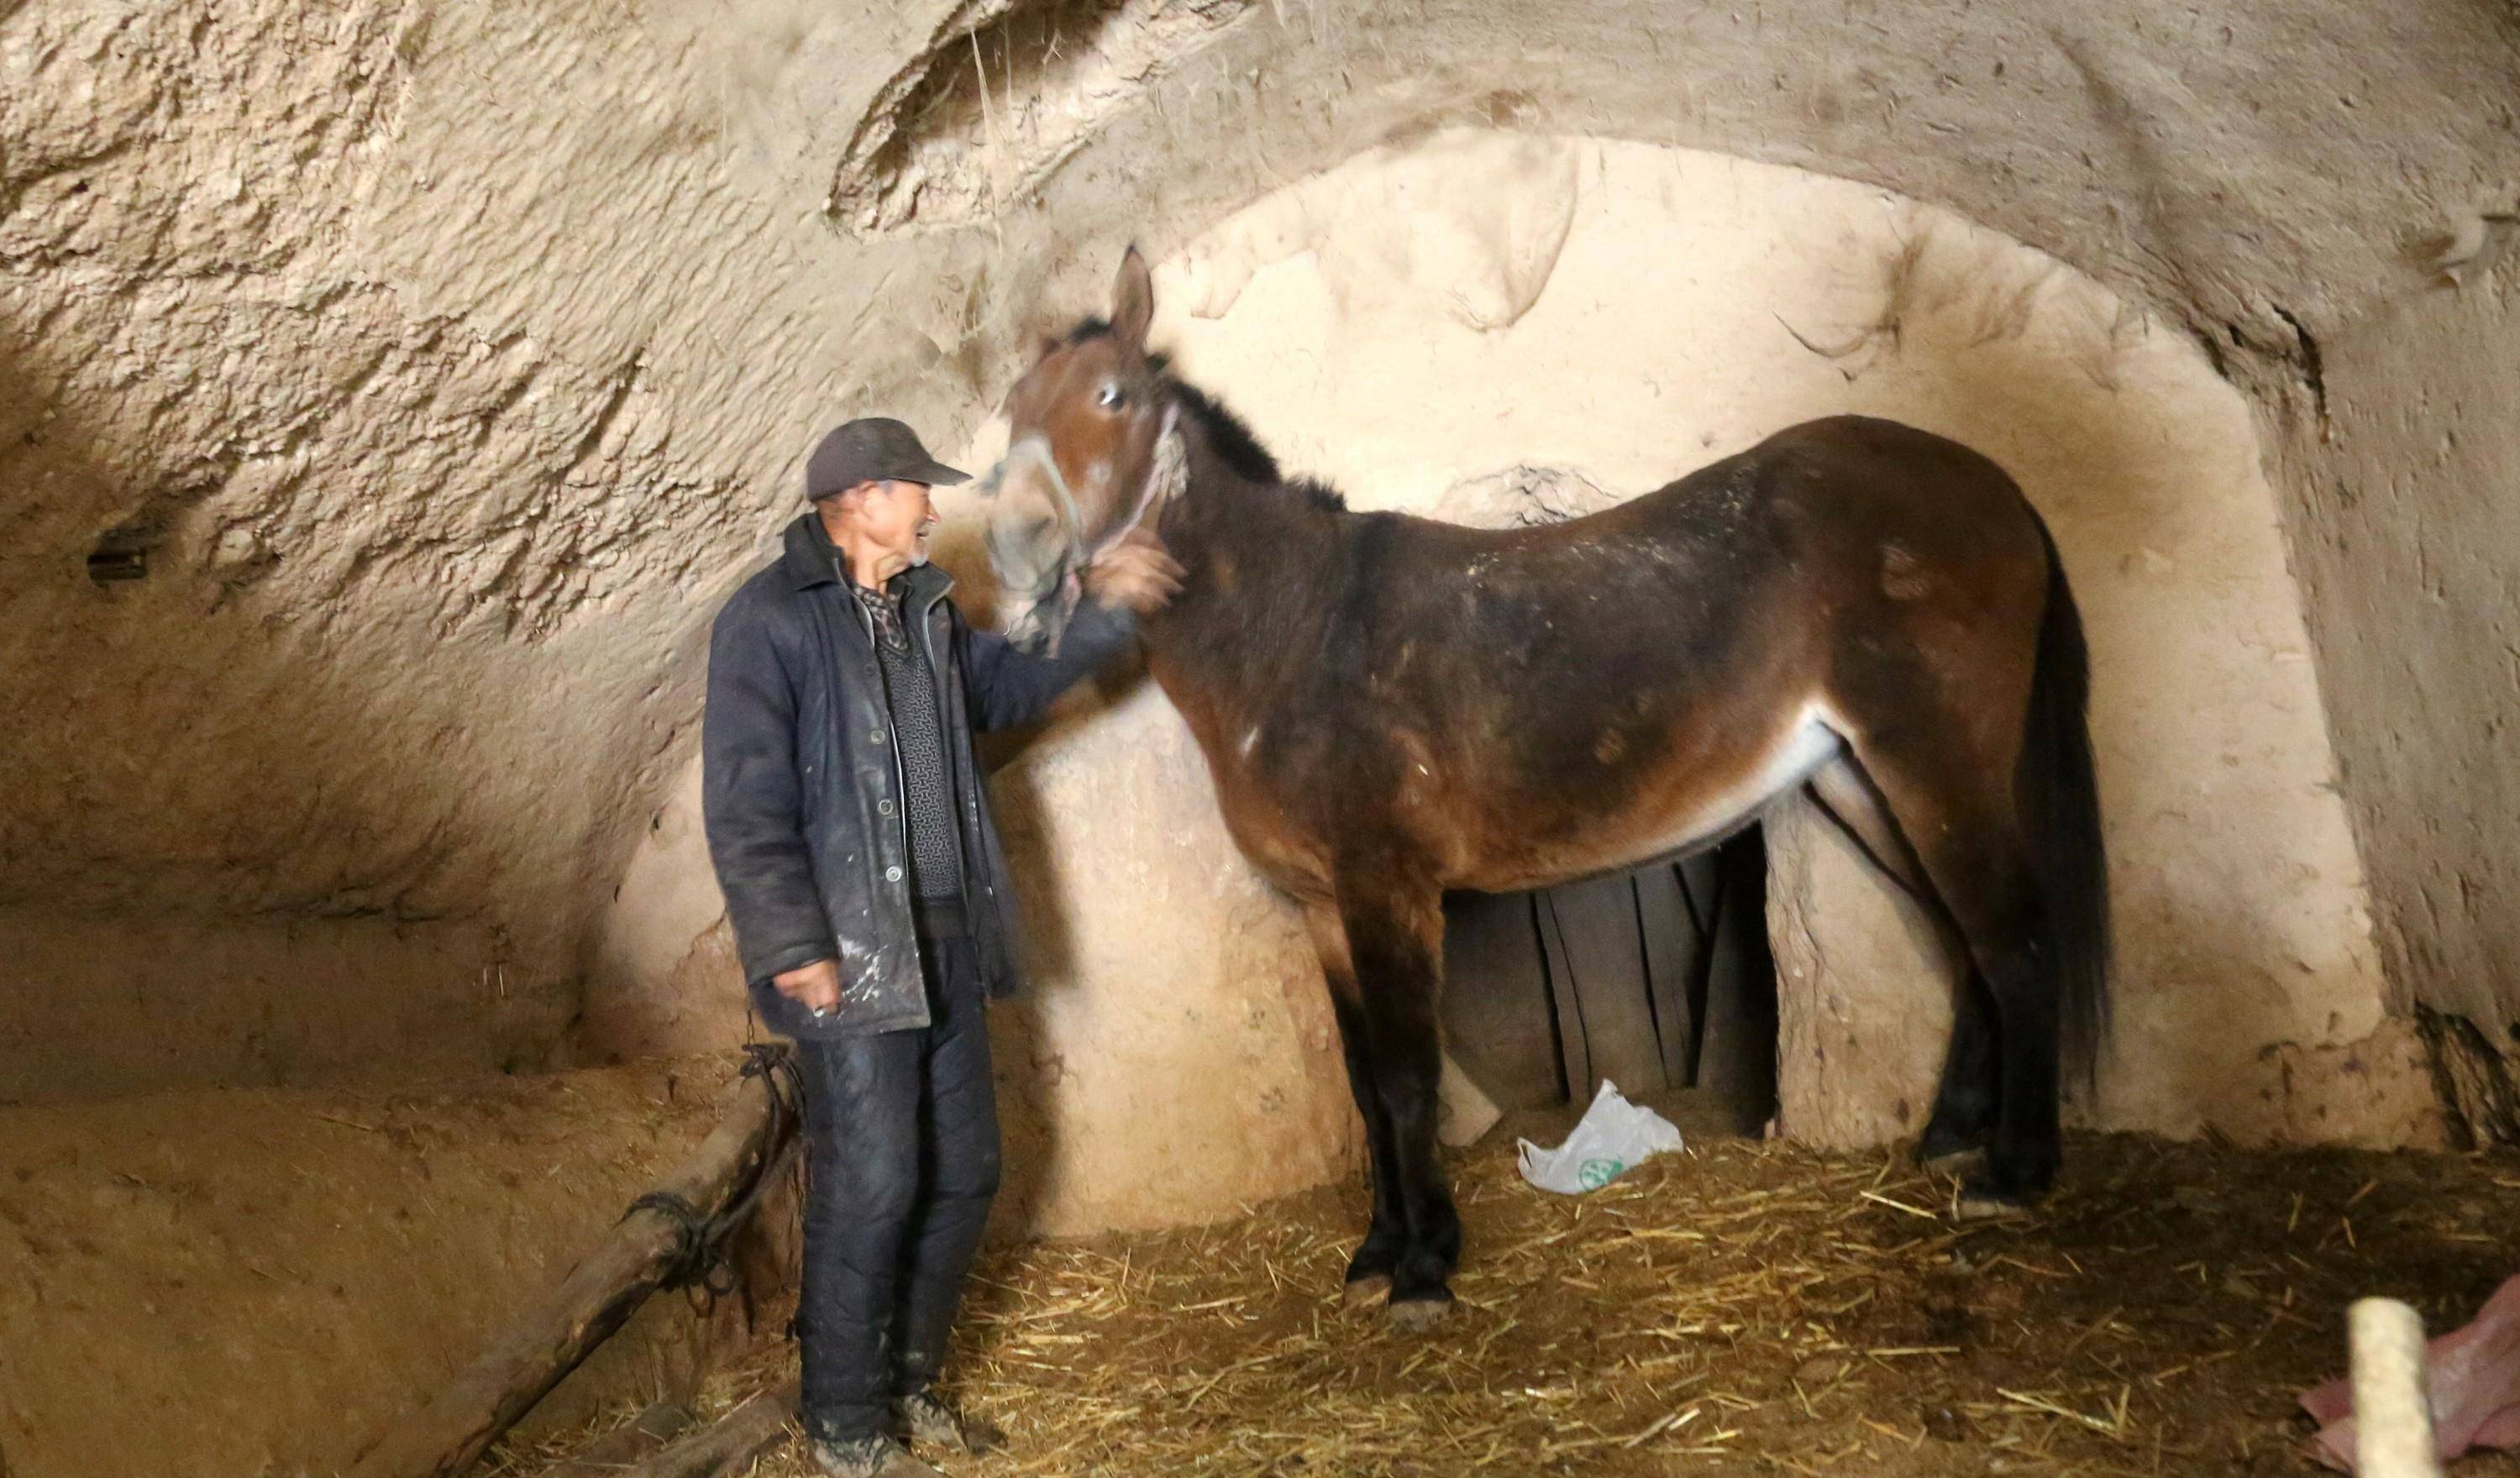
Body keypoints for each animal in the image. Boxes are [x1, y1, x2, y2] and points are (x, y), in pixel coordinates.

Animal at [978, 245, 2107, 1329]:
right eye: (1013, 411)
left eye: (1113, 395)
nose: (1016, 545)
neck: (1297, 633)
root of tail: (1987, 484)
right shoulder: (1323, 907)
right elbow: (1363, 1085)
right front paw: (1377, 1252)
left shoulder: (1389, 890)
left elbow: (1408, 1078)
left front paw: (1425, 1269)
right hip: (1863, 780)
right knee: (1966, 940)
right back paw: (1950, 1138)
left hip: (1937, 757)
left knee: (2015, 938)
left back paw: (2013, 1173)